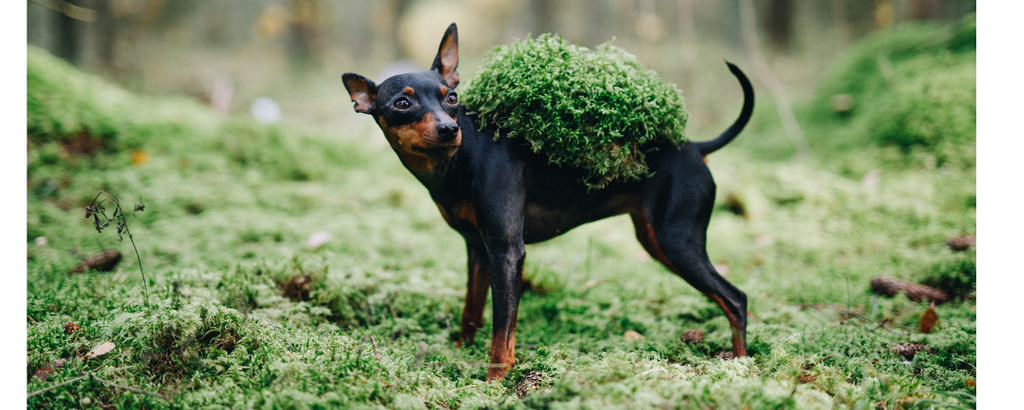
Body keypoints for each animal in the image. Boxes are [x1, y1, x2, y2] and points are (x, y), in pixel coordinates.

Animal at [344, 23, 753, 381]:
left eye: (452, 97)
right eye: (401, 103)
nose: (449, 128)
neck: (459, 160)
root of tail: (696, 147)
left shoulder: (507, 251)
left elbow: (502, 329)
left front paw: (494, 381)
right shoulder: (478, 250)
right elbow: (471, 311)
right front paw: (460, 351)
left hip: (675, 241)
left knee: (736, 299)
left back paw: (741, 366)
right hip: (656, 240)